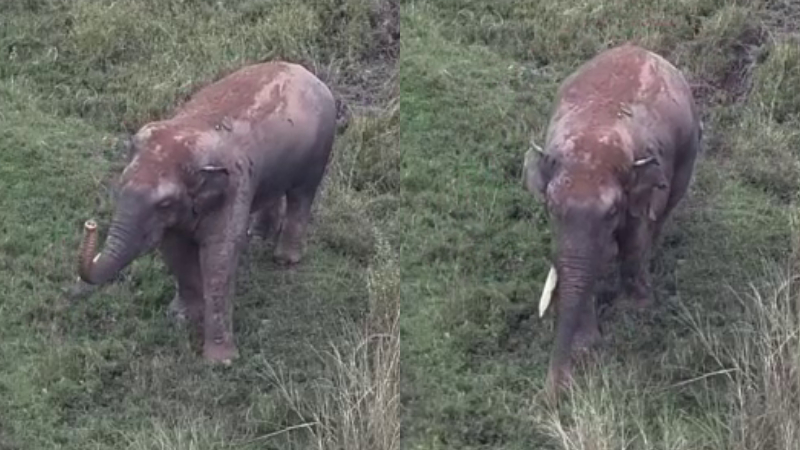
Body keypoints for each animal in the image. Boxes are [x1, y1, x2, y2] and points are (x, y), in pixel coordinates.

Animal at [77, 61, 337, 364]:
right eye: (120, 185)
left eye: (163, 204)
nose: (90, 225)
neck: (190, 133)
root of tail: (307, 72)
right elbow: (175, 249)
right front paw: (181, 318)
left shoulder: (234, 185)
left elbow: (219, 254)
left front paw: (222, 360)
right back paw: (259, 234)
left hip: (319, 149)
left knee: (301, 195)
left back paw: (285, 259)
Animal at [523, 43, 703, 395]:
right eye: (551, 208)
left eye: (611, 213)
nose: (556, 392)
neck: (593, 140)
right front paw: (586, 342)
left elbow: (634, 240)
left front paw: (637, 310)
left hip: (688, 150)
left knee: (666, 209)